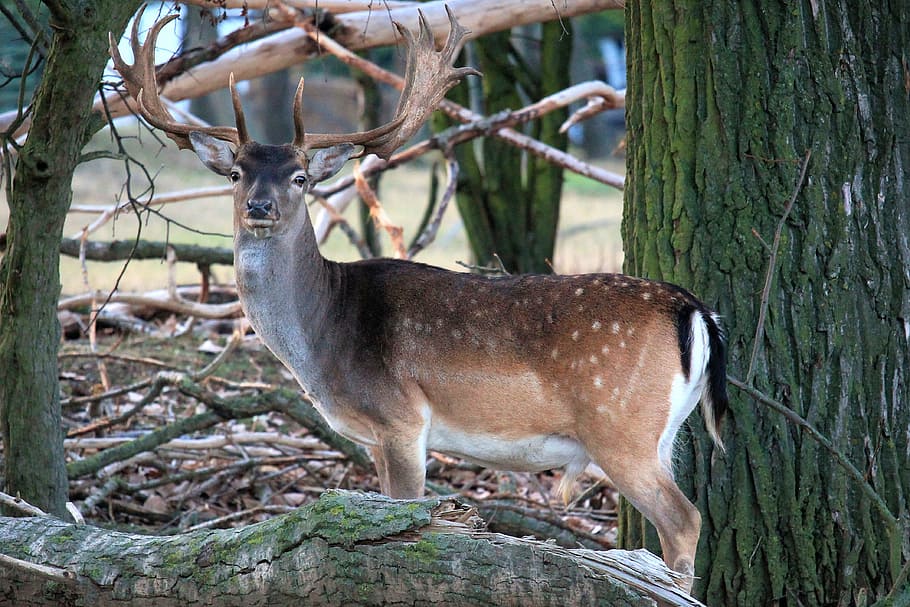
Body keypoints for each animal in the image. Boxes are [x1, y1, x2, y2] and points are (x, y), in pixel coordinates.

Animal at [111, 6, 728, 592]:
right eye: (236, 173)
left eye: (300, 177)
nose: (260, 207)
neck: (324, 336)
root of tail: (693, 309)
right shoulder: (376, 437)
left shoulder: (401, 418)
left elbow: (406, 516)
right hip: (661, 433)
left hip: (619, 423)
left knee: (685, 519)